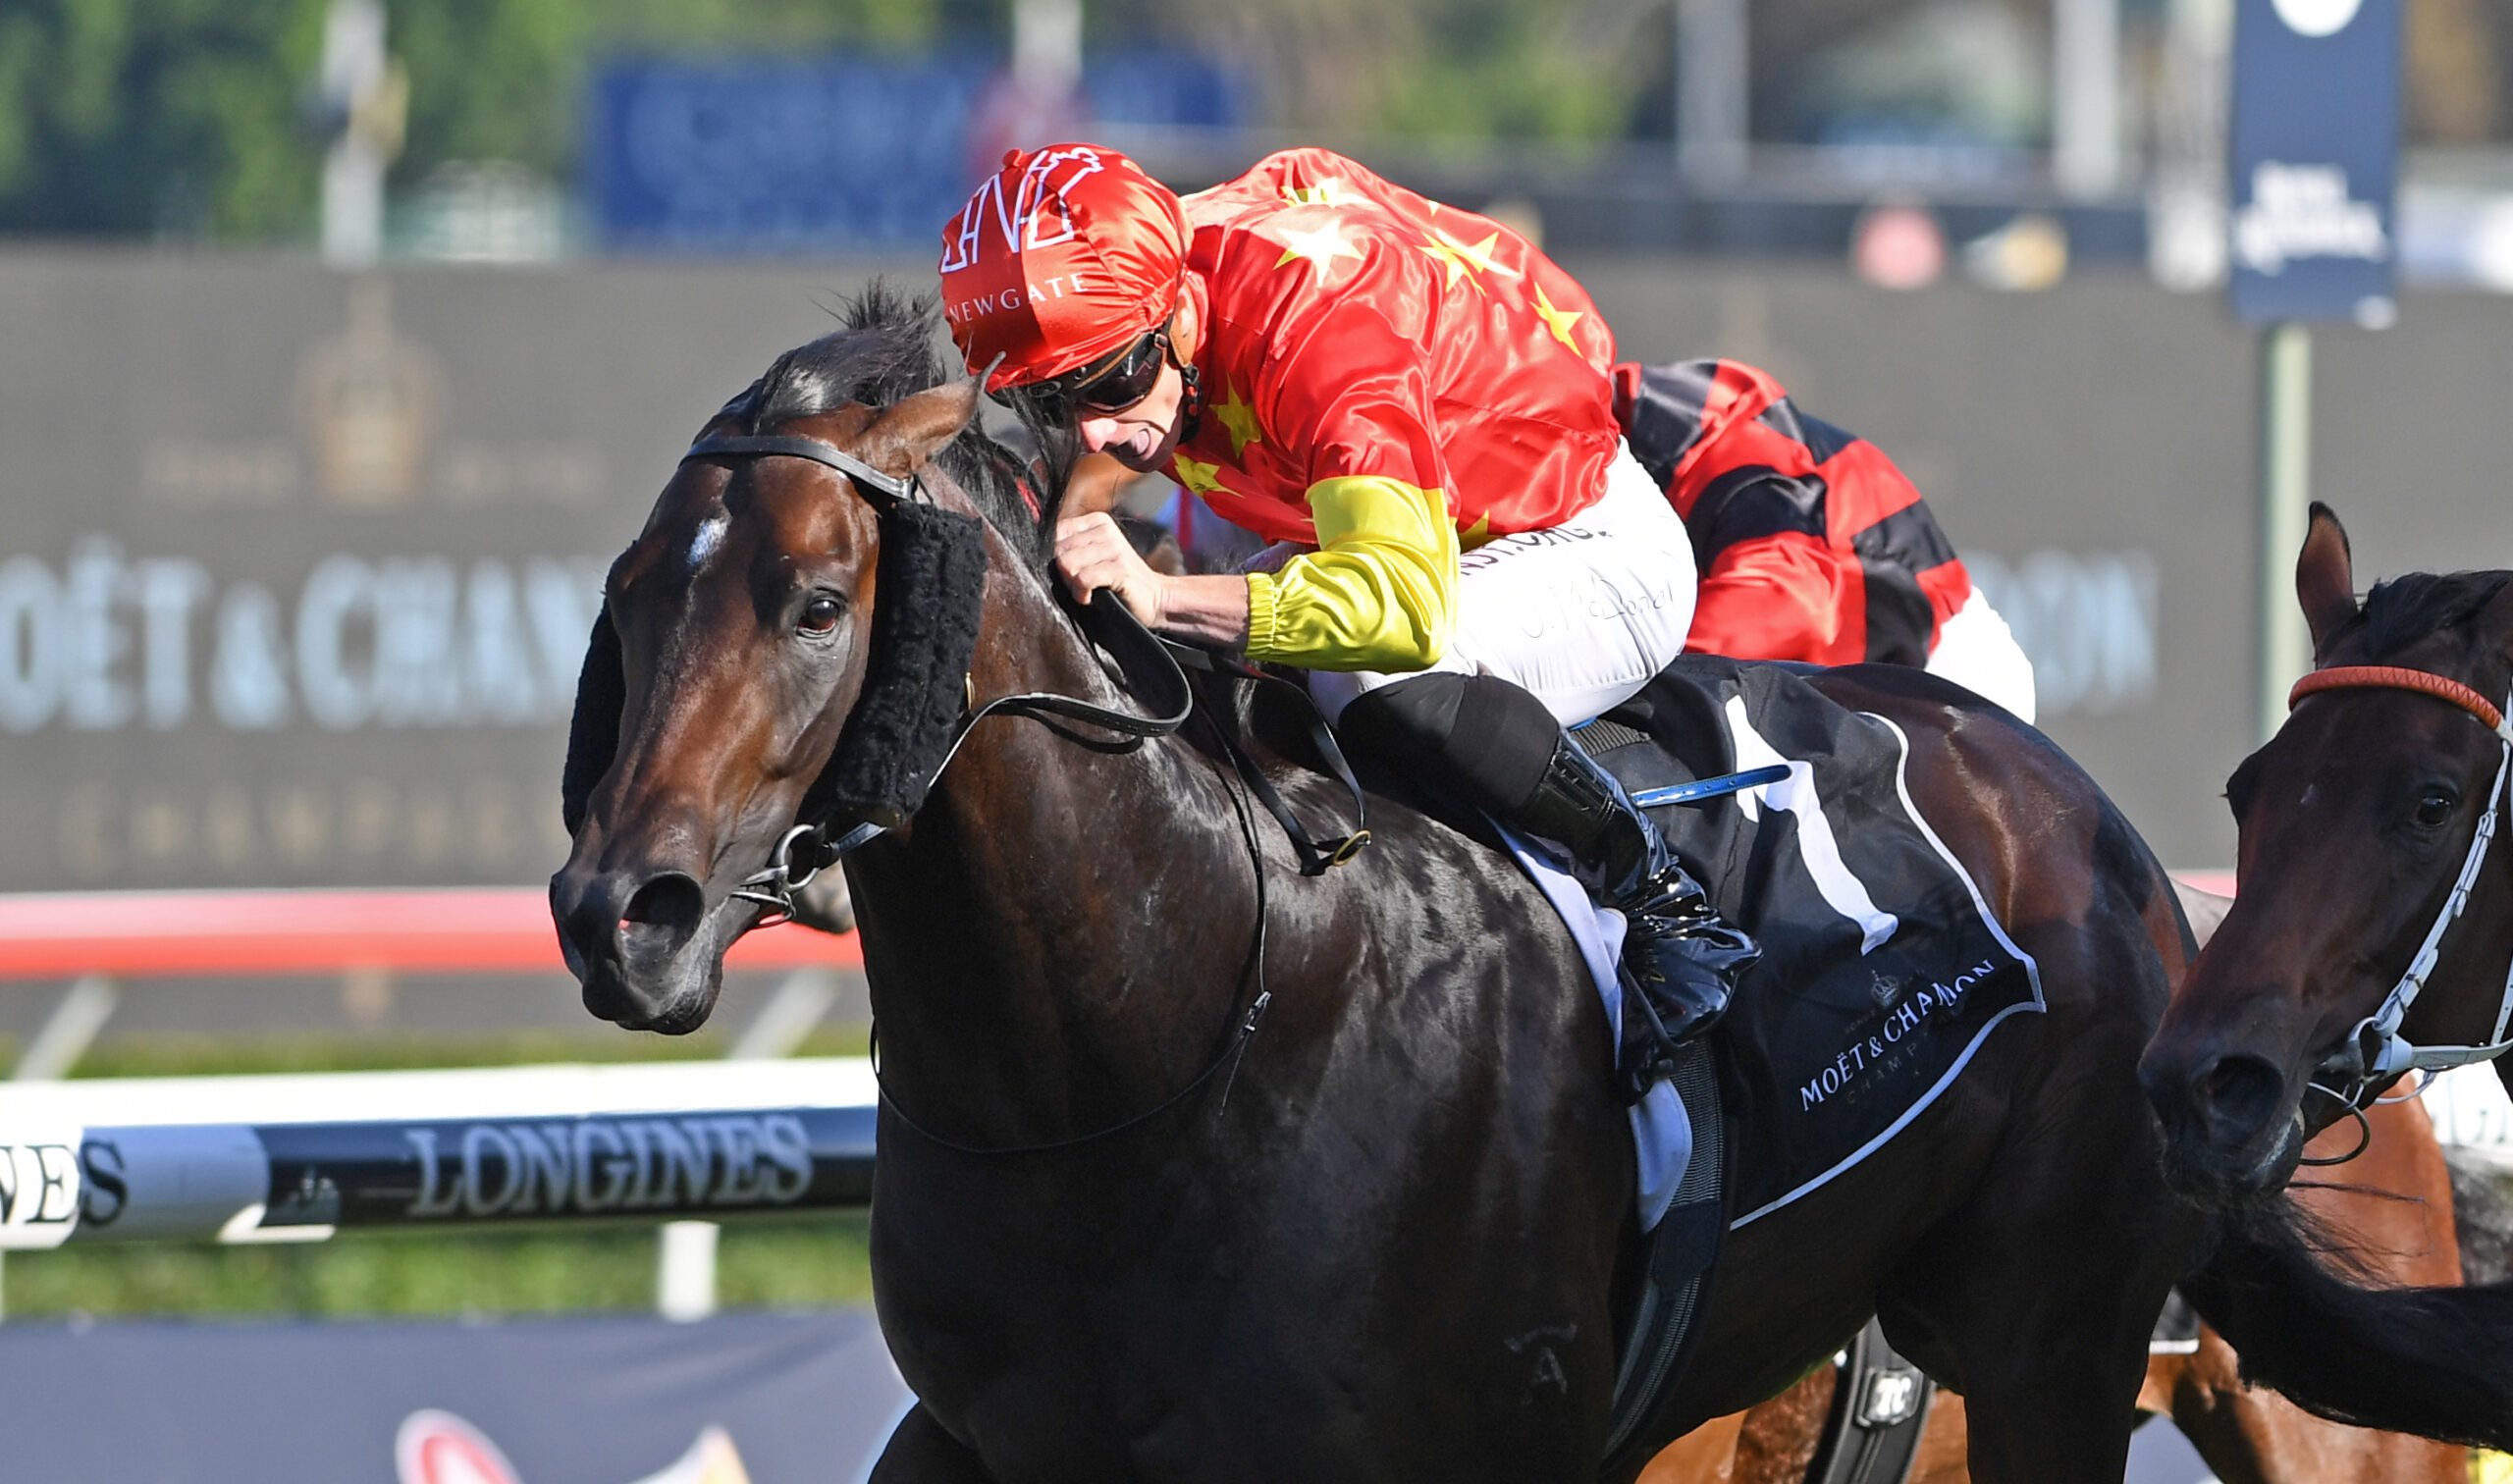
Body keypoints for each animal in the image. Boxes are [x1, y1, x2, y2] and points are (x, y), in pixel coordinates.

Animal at [545, 304, 2513, 1484]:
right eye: (631, 594)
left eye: (816, 599)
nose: (620, 912)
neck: (1169, 1034)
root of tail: (2130, 868)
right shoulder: (991, 1438)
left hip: (2083, 1357)